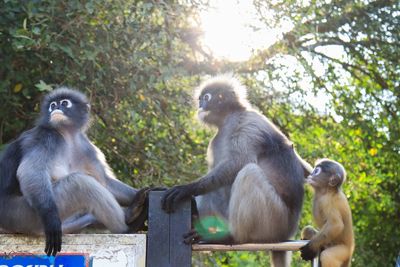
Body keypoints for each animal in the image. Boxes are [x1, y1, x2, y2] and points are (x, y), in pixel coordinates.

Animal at [0, 88, 148, 258]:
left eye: (64, 103)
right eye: (52, 105)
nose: (56, 107)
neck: (66, 136)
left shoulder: (85, 146)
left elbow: (105, 182)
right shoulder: (46, 137)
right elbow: (31, 171)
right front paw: (51, 217)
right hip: (22, 214)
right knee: (79, 183)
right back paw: (128, 223)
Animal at [162, 76, 310, 267]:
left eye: (206, 98)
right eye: (200, 99)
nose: (200, 105)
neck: (227, 119)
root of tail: (289, 231)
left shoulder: (247, 123)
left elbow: (239, 162)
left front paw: (186, 189)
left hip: (275, 221)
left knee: (249, 172)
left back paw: (232, 237)